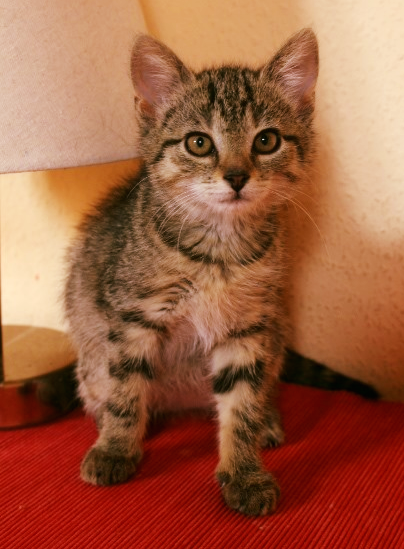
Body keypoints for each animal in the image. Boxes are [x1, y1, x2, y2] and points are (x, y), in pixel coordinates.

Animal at [64, 27, 318, 516]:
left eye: (266, 141)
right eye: (198, 143)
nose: (236, 177)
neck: (219, 252)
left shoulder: (247, 327)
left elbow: (240, 404)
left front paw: (244, 472)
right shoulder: (134, 315)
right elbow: (126, 391)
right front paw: (116, 449)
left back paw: (266, 420)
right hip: (89, 356)